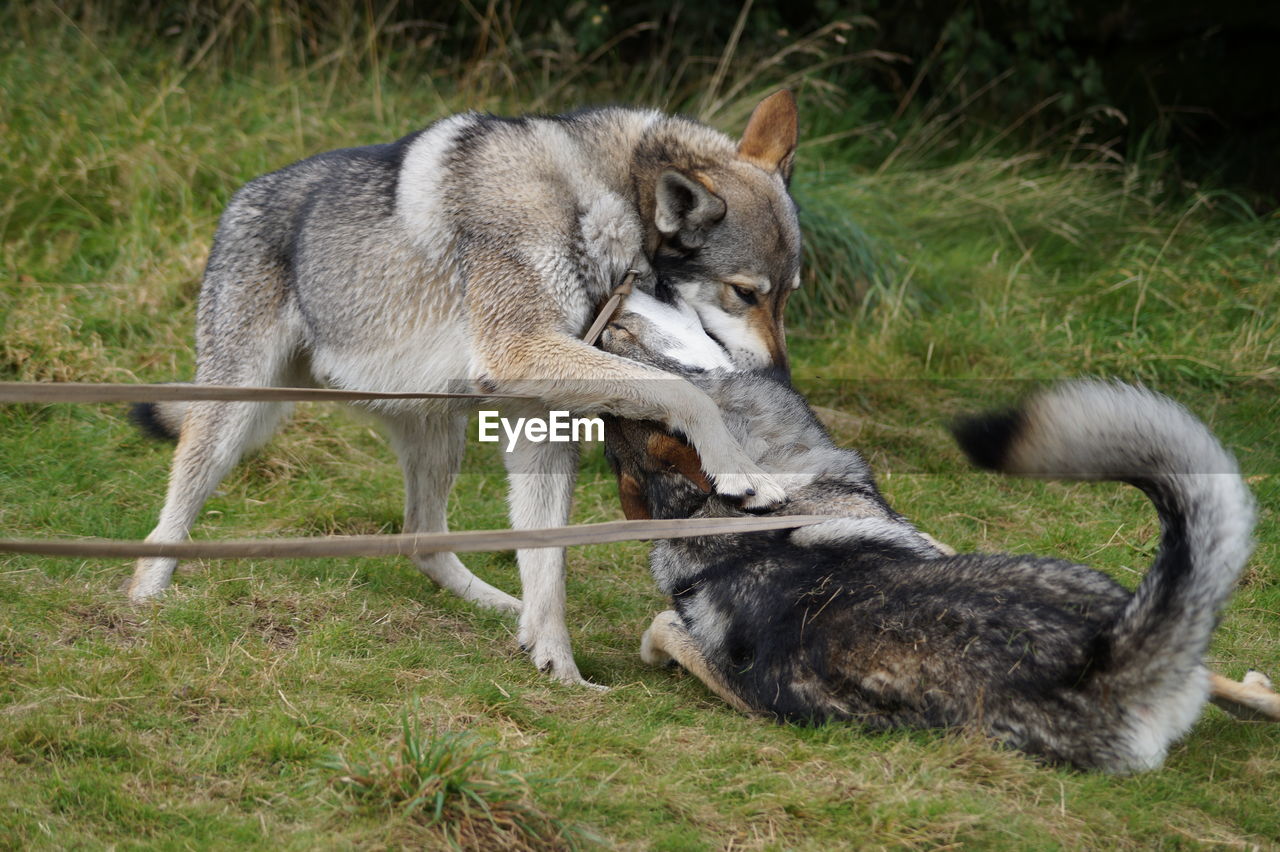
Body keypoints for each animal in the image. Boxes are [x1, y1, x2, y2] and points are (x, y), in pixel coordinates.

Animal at [132, 91, 808, 685]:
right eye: (745, 293)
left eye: (788, 295)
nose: (779, 378)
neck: (594, 198)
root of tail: (239, 199)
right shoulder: (521, 353)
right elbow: (684, 393)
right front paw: (744, 471)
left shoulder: (541, 417)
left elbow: (547, 559)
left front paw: (557, 663)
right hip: (238, 419)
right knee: (164, 526)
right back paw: (142, 604)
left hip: (438, 429)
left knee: (422, 540)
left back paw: (500, 606)